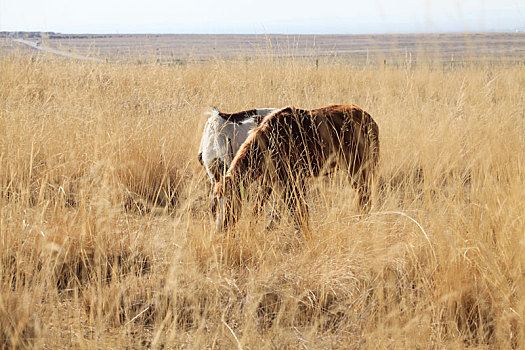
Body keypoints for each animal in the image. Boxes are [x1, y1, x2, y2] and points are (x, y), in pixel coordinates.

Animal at [213, 104, 380, 235]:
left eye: (229, 202)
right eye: (214, 206)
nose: (221, 228)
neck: (268, 140)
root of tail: (370, 119)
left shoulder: (292, 179)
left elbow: (299, 212)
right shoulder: (268, 180)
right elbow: (257, 210)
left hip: (357, 168)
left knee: (364, 197)